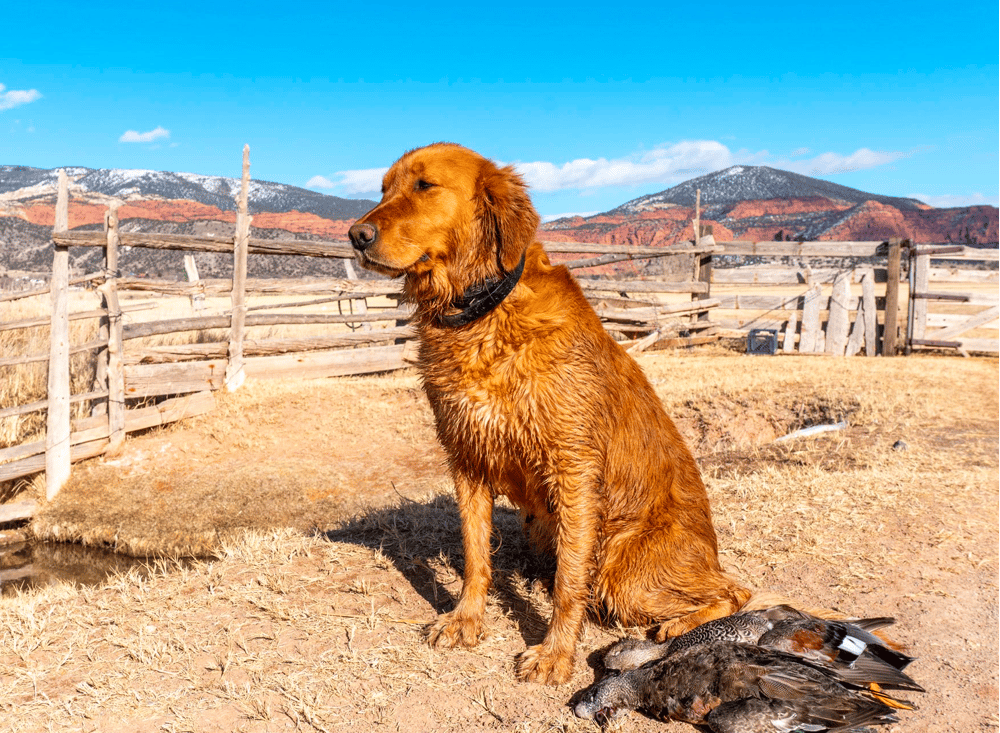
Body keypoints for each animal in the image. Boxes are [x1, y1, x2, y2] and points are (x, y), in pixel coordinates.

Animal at [348, 143, 748, 688]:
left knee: (735, 591)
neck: (481, 313)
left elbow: (568, 582)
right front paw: (466, 620)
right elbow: (476, 556)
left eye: (425, 186)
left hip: (623, 571)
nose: (355, 235)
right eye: (383, 189)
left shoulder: (573, 468)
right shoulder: (467, 457)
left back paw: (677, 625)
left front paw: (555, 654)